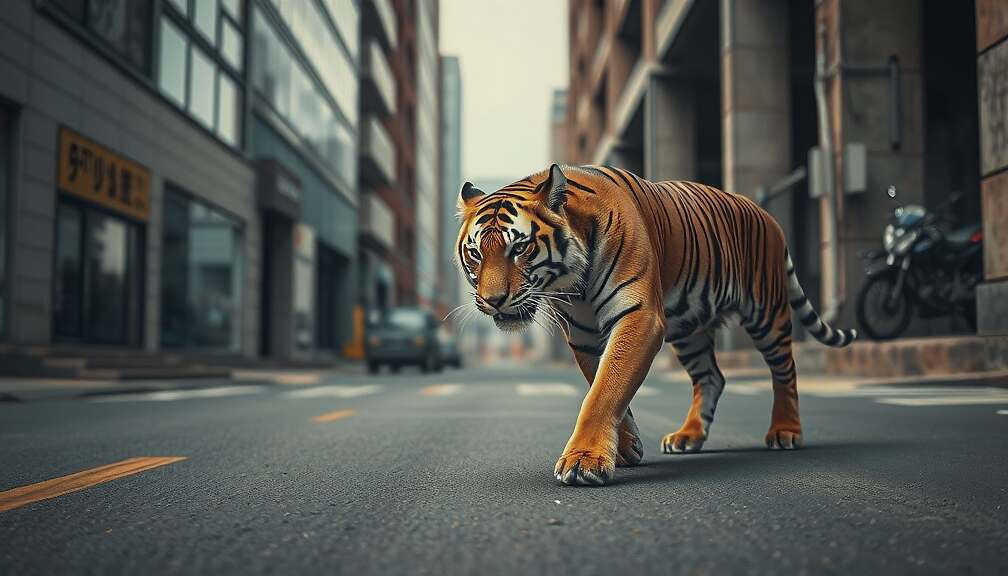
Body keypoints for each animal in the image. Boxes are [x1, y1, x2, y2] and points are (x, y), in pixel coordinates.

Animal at [454, 164, 857, 486]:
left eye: (519, 249)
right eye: (475, 253)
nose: (493, 300)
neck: (573, 285)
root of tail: (765, 213)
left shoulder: (639, 317)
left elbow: (605, 390)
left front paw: (584, 460)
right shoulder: (584, 337)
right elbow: (602, 385)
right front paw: (626, 447)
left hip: (766, 313)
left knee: (785, 371)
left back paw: (785, 431)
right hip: (690, 331)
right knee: (712, 377)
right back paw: (688, 437)